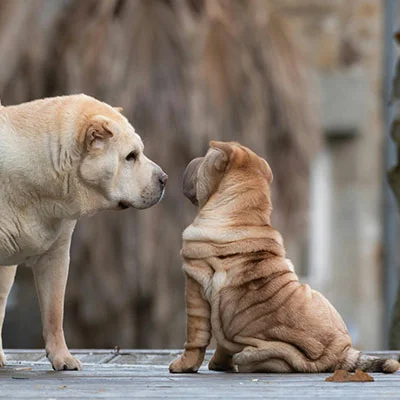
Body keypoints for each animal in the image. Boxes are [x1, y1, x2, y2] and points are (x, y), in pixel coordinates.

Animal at [170, 141, 398, 376]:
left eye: (205, 159)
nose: (192, 160)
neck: (243, 215)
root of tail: (340, 354)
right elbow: (222, 342)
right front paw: (219, 364)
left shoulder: (194, 283)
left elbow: (195, 335)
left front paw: (184, 366)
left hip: (254, 355)